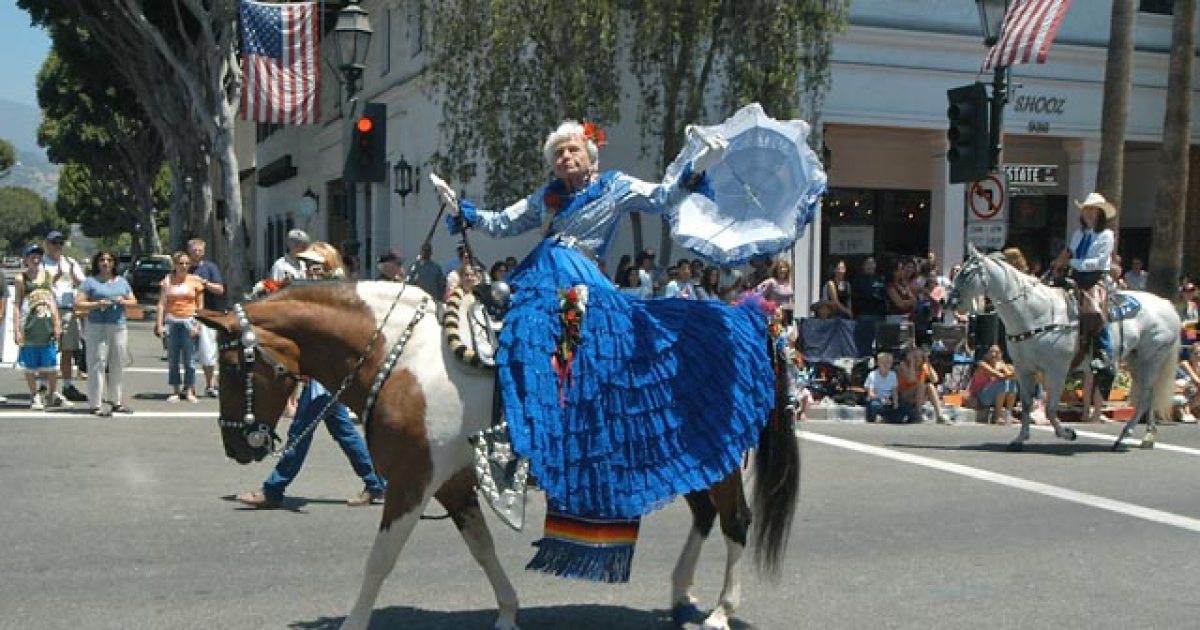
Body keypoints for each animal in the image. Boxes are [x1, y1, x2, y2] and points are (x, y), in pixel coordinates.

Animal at [199, 279, 796, 628]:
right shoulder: (454, 482)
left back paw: (720, 611)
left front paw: (353, 624)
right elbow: (482, 549)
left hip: (719, 459)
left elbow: (379, 562)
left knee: (736, 521)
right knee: (705, 516)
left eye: (230, 365)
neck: (403, 358)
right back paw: (680, 595)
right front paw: (508, 613)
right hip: (693, 457)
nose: (236, 444)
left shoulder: (412, 484)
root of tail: (750, 320)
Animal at [950, 243, 1176, 448]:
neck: (1035, 313)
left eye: (967, 273)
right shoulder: (1024, 369)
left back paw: (1126, 437)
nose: (948, 301)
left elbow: (1050, 409)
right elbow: (1027, 404)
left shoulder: (1057, 370)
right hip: (1136, 360)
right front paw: (1020, 438)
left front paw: (1067, 433)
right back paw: (1145, 437)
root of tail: (1167, 305)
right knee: (1149, 395)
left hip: (1152, 358)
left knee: (1146, 395)